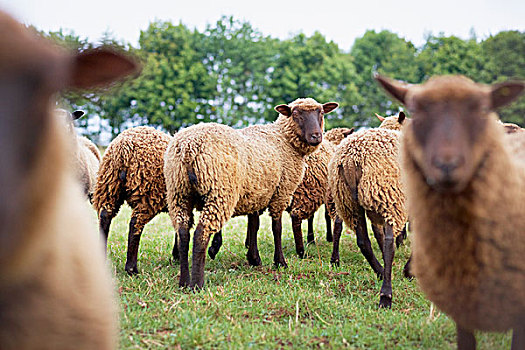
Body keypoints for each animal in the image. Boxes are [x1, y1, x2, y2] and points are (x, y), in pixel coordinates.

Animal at [91, 126, 171, 276]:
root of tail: (124, 147)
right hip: (147, 194)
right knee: (135, 224)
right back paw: (132, 269)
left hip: (108, 185)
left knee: (104, 217)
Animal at [165, 98, 340, 288]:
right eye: (295, 113)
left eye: (321, 112)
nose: (316, 136)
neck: (284, 140)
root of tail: (189, 148)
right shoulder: (281, 192)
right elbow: (276, 228)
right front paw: (280, 262)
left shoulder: (257, 193)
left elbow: (254, 225)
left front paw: (254, 258)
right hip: (219, 192)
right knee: (200, 233)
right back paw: (197, 284)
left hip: (179, 193)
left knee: (183, 233)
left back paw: (183, 282)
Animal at [328, 110, 410, 308]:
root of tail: (351, 159)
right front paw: (409, 270)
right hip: (387, 195)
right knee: (388, 242)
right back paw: (386, 295)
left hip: (349, 201)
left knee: (363, 241)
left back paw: (380, 271)